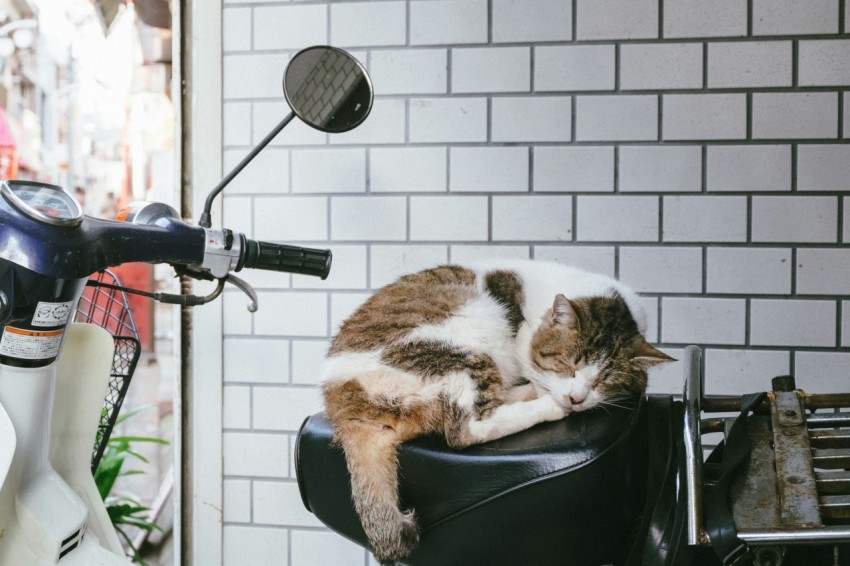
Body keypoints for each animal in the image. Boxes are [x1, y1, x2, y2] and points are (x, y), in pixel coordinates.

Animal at [318, 260, 668, 564]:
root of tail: (341, 400)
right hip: (460, 343)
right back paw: (545, 405)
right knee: (466, 430)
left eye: (603, 382)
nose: (576, 398)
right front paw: (550, 394)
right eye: (568, 365)